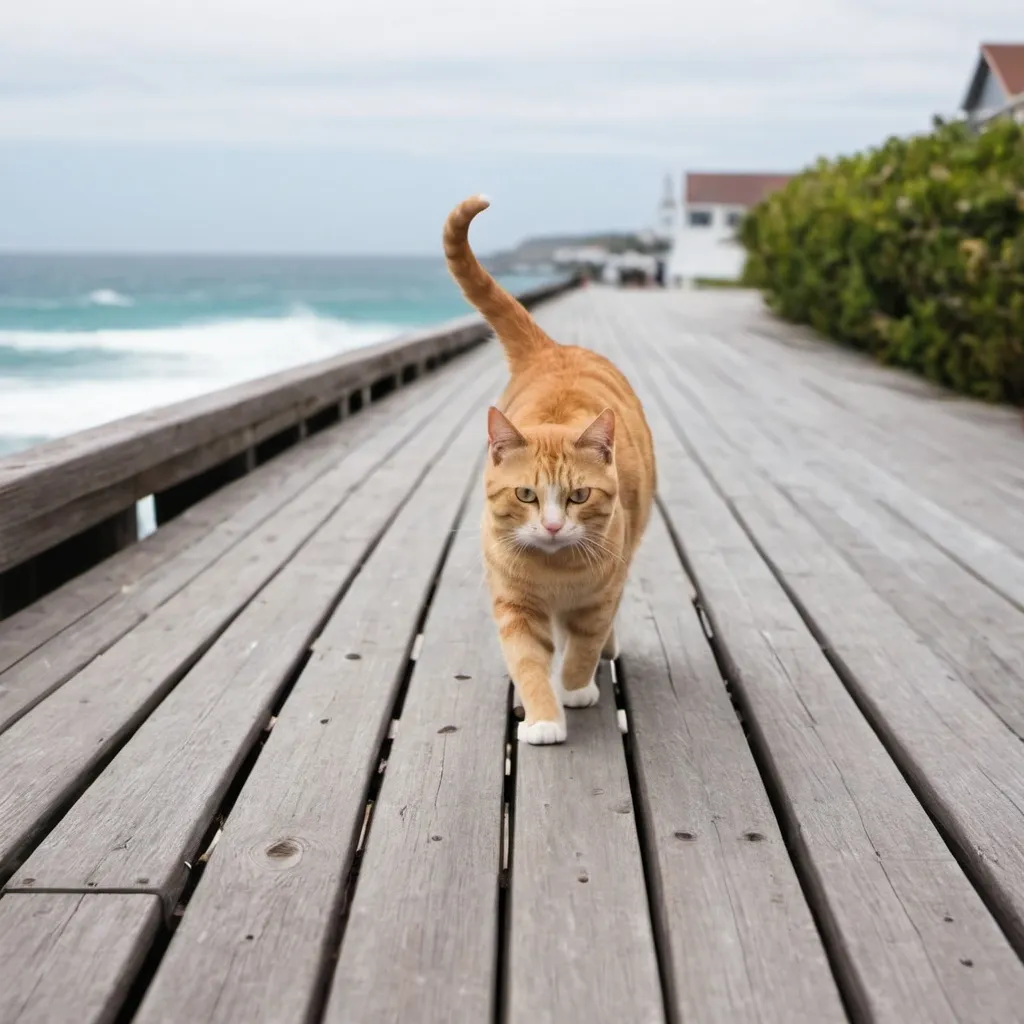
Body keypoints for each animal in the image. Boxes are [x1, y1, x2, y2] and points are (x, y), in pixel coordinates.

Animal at [442, 195, 655, 745]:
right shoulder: (515, 606)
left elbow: (583, 645)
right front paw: (542, 718)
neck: (556, 573)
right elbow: (528, 662)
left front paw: (576, 688)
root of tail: (553, 348)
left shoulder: (600, 598)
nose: (555, 526)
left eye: (578, 496)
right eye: (525, 495)